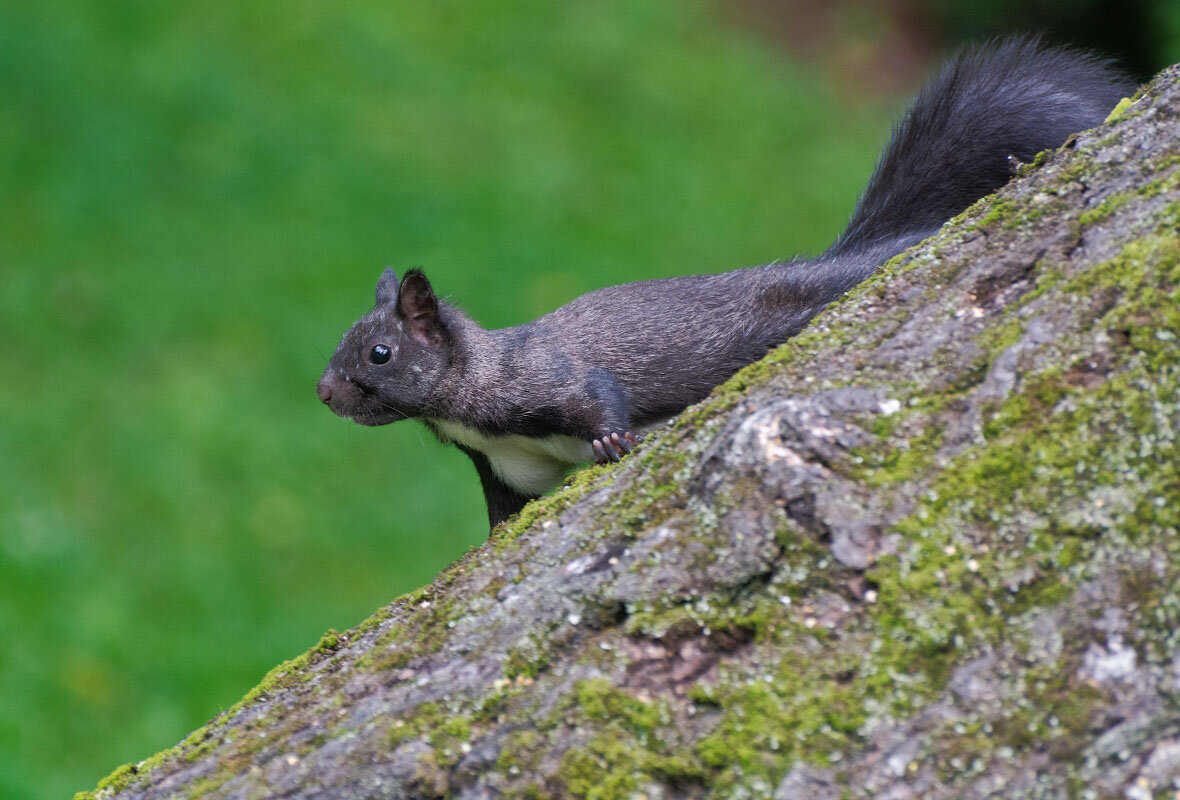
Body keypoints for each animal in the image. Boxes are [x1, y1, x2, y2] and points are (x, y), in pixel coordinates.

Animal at [316, 37, 1132, 528]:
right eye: (343, 341)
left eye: (380, 353)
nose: (324, 392)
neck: (471, 409)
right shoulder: (507, 469)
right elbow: (501, 515)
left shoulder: (547, 378)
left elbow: (598, 395)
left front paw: (611, 440)